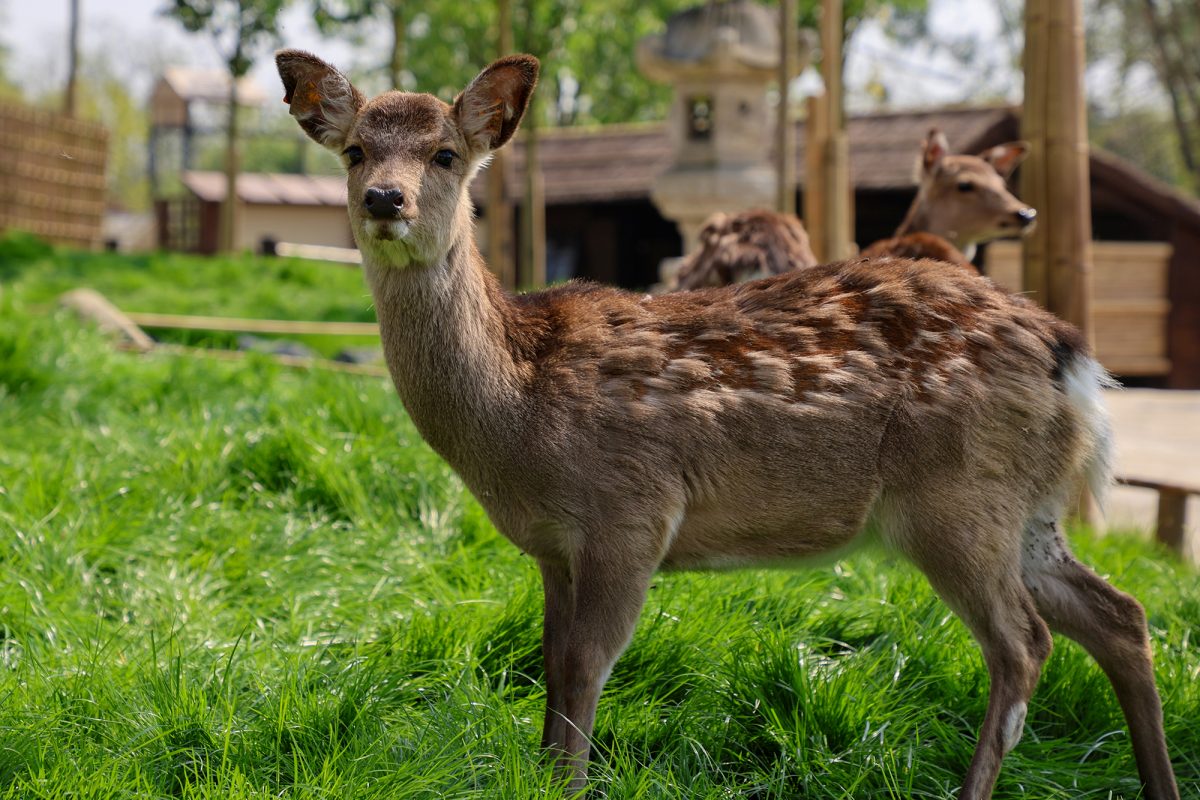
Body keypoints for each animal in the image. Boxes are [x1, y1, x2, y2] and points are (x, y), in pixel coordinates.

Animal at [274, 50, 1180, 800]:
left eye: (446, 154)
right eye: (354, 150)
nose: (384, 199)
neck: (519, 410)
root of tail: (1076, 363)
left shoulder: (631, 512)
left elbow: (585, 670)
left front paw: (569, 784)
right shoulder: (554, 547)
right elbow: (551, 670)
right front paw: (542, 774)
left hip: (958, 497)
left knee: (1024, 643)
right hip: (1024, 508)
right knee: (1120, 614)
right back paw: (1160, 782)